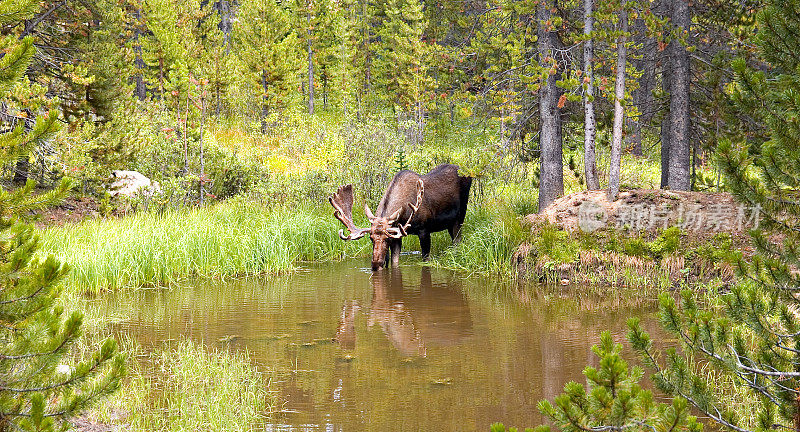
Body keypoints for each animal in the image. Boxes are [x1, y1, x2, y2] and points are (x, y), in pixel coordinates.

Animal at [328, 165, 472, 270]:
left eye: (387, 238)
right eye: (371, 238)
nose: (375, 264)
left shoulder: (424, 230)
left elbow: (426, 259)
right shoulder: (397, 235)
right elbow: (394, 263)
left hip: (460, 216)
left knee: (458, 240)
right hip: (450, 224)